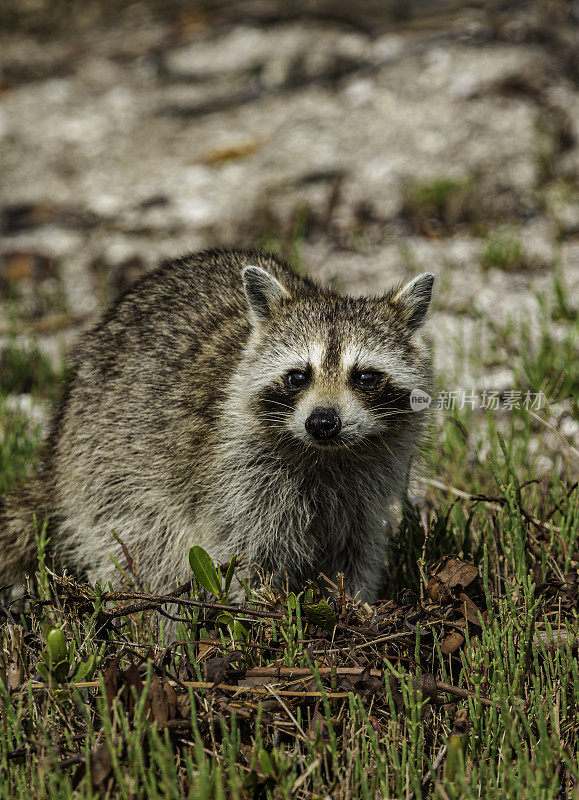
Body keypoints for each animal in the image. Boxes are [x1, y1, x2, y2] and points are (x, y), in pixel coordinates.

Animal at [0, 250, 436, 608]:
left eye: (365, 377)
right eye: (298, 376)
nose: (323, 423)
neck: (325, 456)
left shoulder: (366, 486)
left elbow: (357, 550)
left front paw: (355, 607)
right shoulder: (238, 476)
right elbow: (246, 554)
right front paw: (260, 617)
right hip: (104, 469)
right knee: (149, 550)